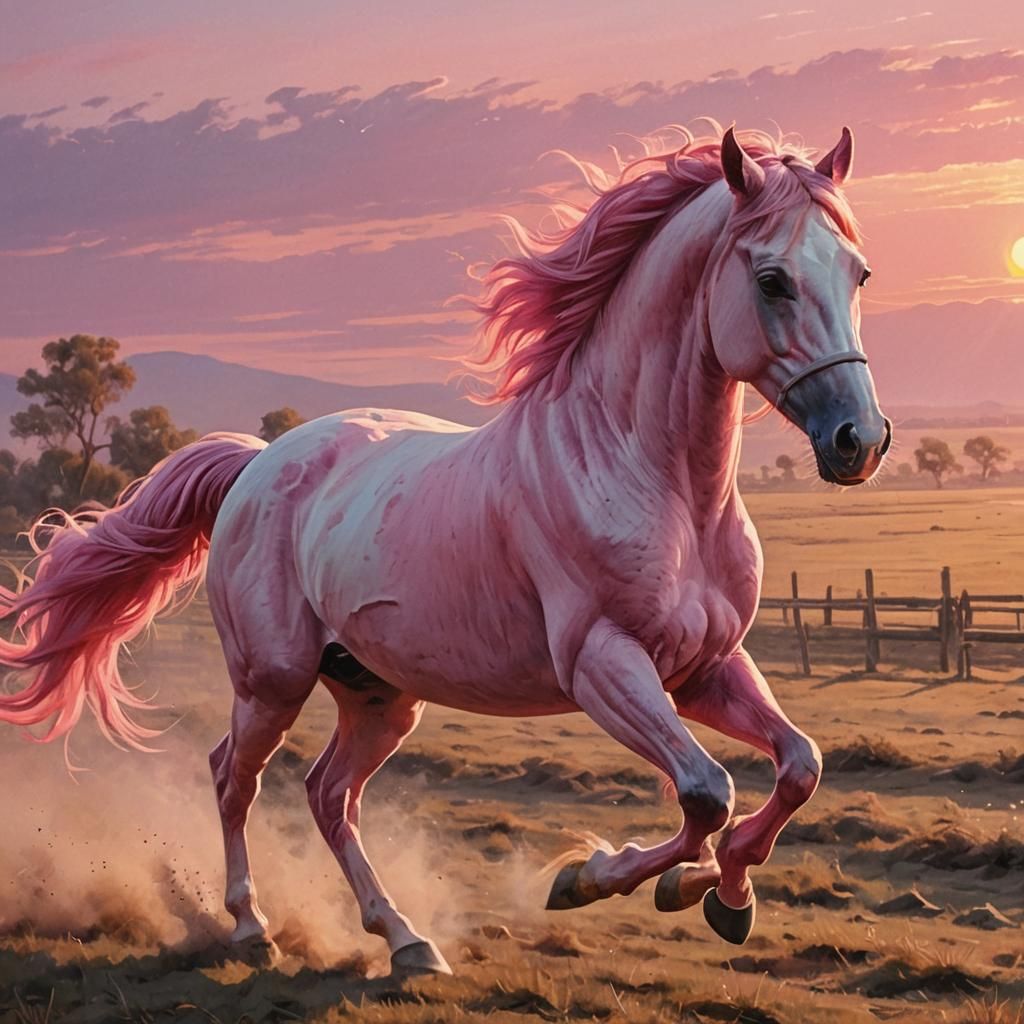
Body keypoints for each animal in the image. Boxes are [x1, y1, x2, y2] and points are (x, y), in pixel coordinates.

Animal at [0, 125, 891, 975]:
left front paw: (723, 894)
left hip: (379, 695)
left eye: (859, 274)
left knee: (329, 796)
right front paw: (590, 877)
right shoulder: (603, 665)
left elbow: (797, 766)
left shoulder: (704, 668)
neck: (649, 479)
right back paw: (254, 929)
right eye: (772, 279)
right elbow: (707, 792)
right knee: (233, 778)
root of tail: (258, 463)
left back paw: (404, 939)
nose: (860, 440)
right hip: (272, 680)